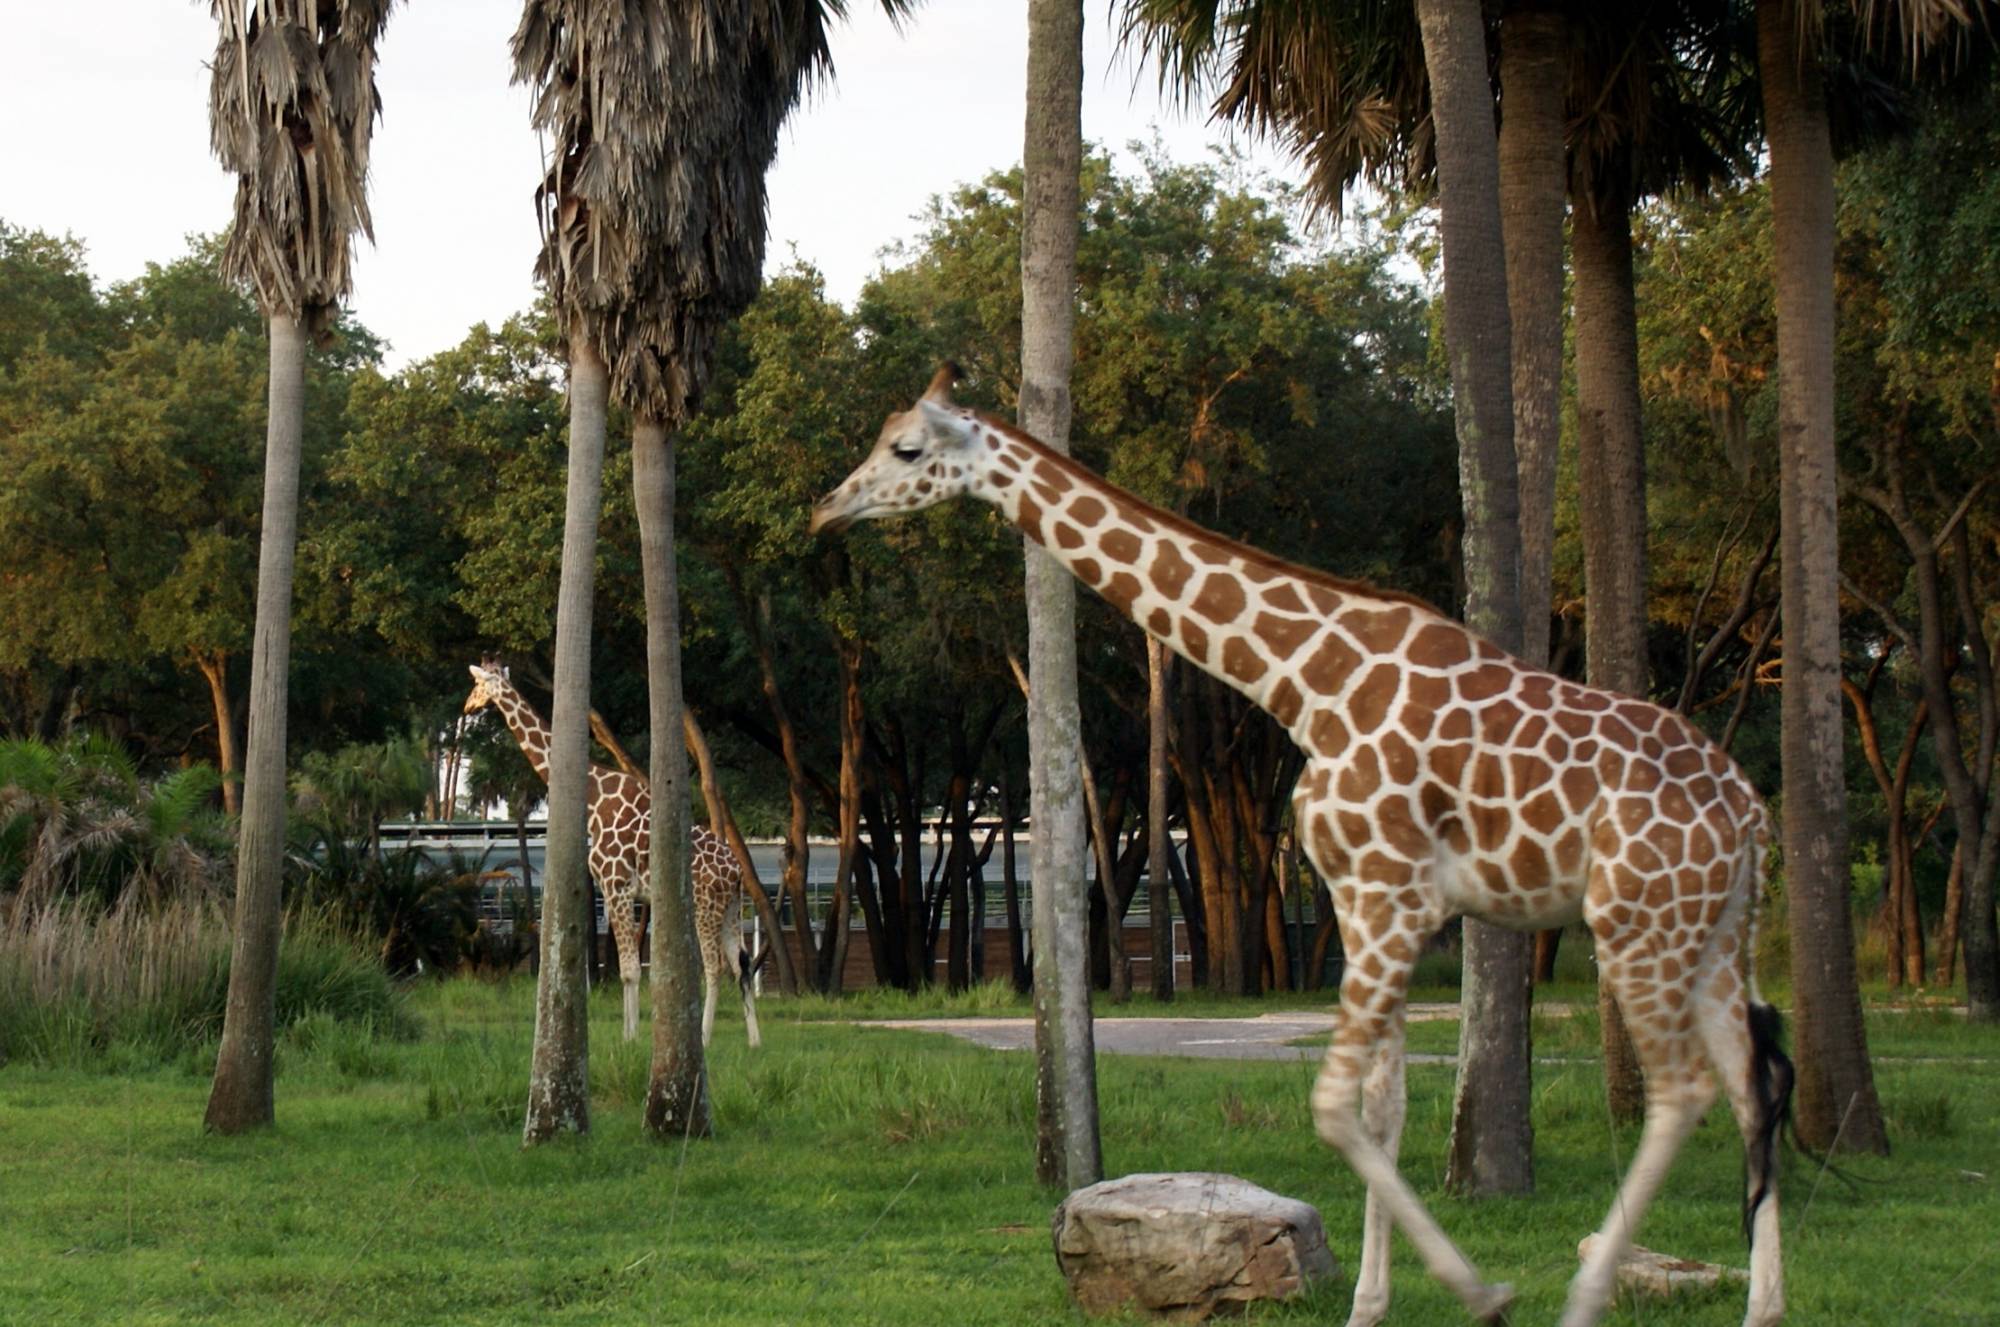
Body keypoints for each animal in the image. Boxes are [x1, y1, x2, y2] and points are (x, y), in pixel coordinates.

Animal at [464, 663, 760, 1047]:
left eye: (477, 685)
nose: (467, 707)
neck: (594, 799)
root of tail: (736, 870)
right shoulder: (616, 890)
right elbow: (626, 967)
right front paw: (630, 1034)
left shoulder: (615, 885)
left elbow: (630, 970)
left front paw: (630, 1039)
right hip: (731, 908)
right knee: (741, 965)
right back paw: (755, 1041)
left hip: (705, 906)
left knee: (715, 967)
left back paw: (704, 1038)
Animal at [812, 367, 1800, 1327]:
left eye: (907, 448)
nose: (826, 508)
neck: (1304, 680)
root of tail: (1751, 813)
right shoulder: (1369, 905)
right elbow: (1383, 1108)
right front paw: (1373, 1304)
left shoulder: (1390, 895)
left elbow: (1331, 1104)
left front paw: (1482, 1292)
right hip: (1714, 934)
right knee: (1749, 1087)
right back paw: (1764, 1308)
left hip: (1637, 923)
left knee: (1683, 1092)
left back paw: (1588, 1297)